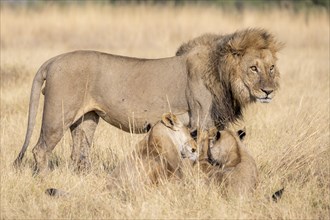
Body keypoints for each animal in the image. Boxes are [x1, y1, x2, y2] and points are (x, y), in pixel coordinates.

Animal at [12, 27, 282, 172]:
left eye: (271, 68)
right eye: (253, 68)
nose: (268, 91)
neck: (222, 75)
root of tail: (52, 60)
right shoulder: (202, 122)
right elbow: (202, 156)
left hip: (87, 119)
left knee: (79, 153)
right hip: (58, 115)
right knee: (40, 149)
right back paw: (45, 179)